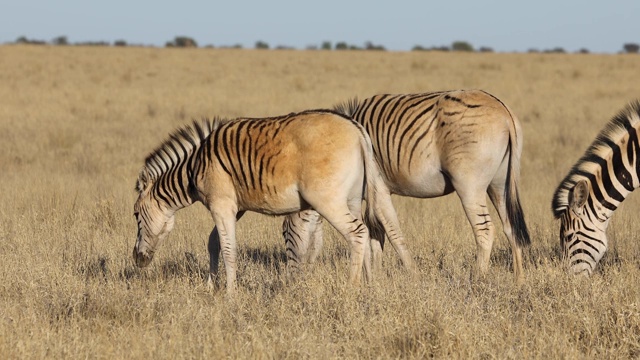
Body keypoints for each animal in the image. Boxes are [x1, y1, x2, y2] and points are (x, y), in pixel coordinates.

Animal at [134, 109, 416, 292]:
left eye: (135, 215)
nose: (137, 260)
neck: (195, 167)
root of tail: (358, 130)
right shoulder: (235, 207)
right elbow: (214, 242)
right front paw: (211, 286)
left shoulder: (221, 204)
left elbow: (228, 248)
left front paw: (230, 295)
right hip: (354, 198)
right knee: (367, 232)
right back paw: (369, 286)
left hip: (328, 200)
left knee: (357, 232)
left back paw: (351, 289)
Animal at [284, 89, 528, 282]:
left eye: (285, 232)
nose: (291, 278)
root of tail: (504, 111)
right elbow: (376, 235)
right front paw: (376, 278)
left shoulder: (379, 188)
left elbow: (393, 234)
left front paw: (413, 275)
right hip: (499, 184)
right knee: (510, 226)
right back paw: (518, 281)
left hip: (469, 184)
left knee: (484, 230)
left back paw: (477, 279)